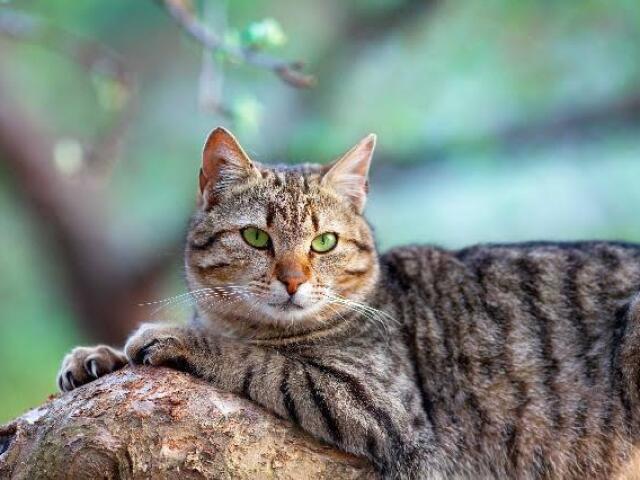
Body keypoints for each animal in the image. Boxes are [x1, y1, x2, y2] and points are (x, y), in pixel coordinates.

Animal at [58, 127, 640, 480]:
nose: (293, 280)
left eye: (324, 243)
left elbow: (261, 361)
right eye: (256, 238)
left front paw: (176, 337)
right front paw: (96, 357)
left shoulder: (380, 403)